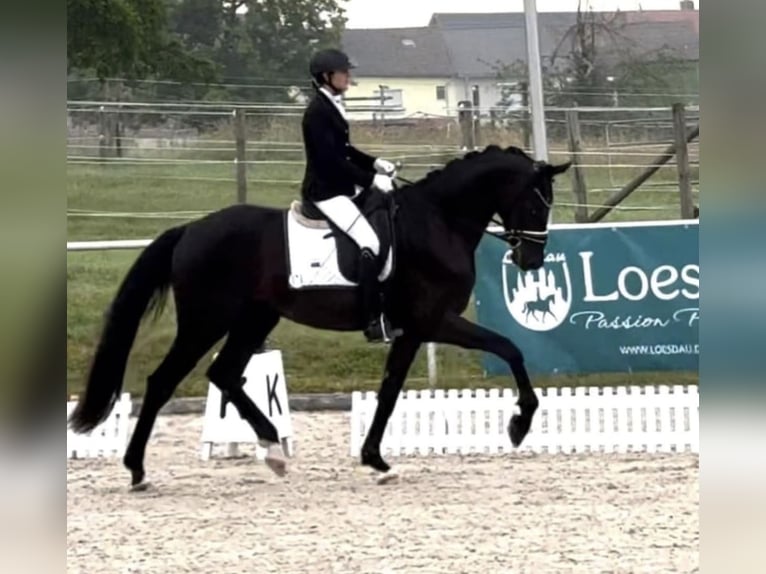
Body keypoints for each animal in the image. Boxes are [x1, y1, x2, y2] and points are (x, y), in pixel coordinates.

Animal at [68, 144, 571, 489]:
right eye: (534, 204)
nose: (531, 261)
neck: (439, 221)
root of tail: (191, 229)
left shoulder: (412, 330)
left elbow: (390, 391)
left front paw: (375, 459)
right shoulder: (433, 321)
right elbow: (509, 347)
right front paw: (520, 424)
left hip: (255, 319)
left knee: (225, 373)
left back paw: (273, 448)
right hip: (205, 321)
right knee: (163, 382)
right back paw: (137, 470)